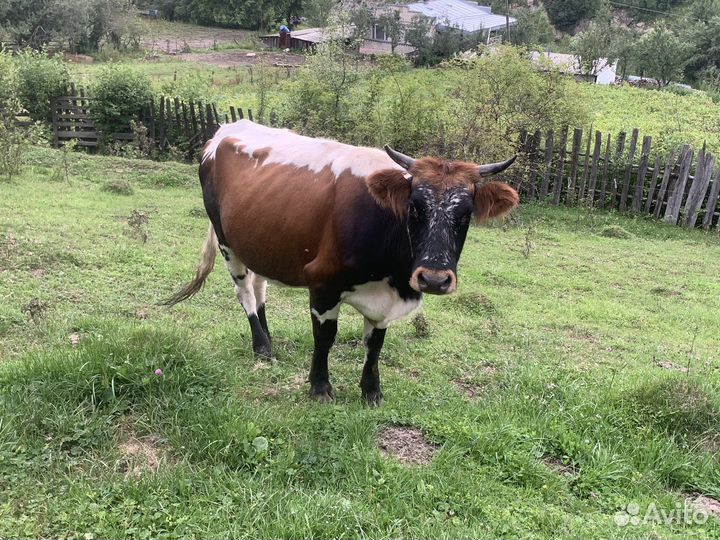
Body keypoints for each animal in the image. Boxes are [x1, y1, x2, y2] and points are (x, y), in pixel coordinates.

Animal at [164, 120, 518, 405]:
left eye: (466, 214)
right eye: (414, 207)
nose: (433, 279)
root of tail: (226, 129)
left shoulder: (384, 302)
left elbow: (375, 345)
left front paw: (371, 391)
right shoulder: (322, 283)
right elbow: (325, 337)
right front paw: (320, 387)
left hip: (261, 241)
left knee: (259, 283)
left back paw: (268, 339)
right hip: (227, 242)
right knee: (245, 292)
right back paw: (261, 346)